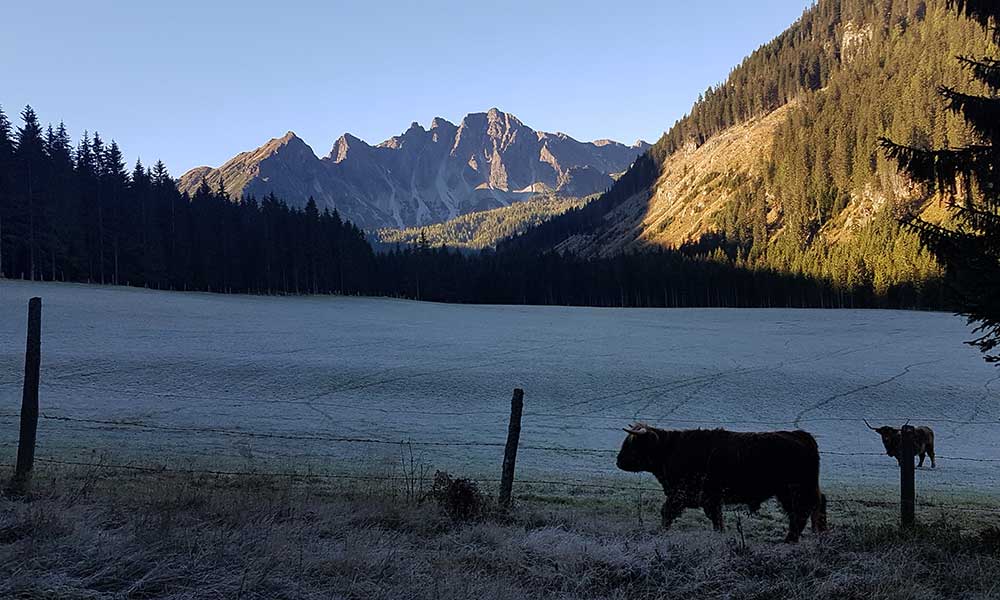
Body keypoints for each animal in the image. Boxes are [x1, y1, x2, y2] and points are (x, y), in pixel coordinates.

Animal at [616, 422, 828, 544]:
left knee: (801, 512)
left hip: (796, 489)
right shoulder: (707, 497)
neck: (670, 450)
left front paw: (660, 532)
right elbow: (715, 518)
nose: (618, 461)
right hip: (789, 491)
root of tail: (800, 435)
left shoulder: (685, 493)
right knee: (806, 510)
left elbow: (667, 512)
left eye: (632, 444)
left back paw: (789, 540)